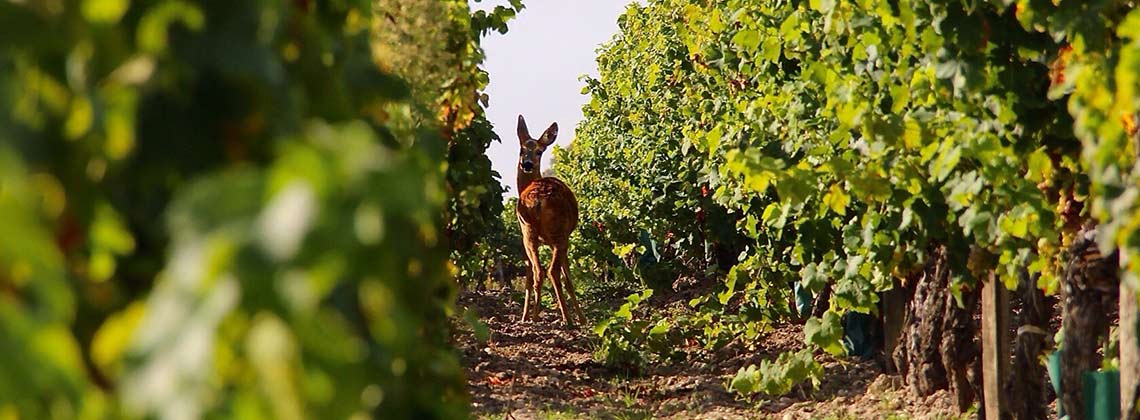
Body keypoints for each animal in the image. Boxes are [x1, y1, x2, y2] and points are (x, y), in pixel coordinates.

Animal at [517, 115, 588, 328]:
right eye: (522, 149)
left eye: (539, 151)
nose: (527, 164)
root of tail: (538, 199)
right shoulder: (564, 238)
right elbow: (568, 278)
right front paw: (581, 318)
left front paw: (524, 316)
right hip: (558, 234)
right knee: (551, 271)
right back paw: (567, 319)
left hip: (530, 234)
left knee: (539, 271)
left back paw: (536, 317)